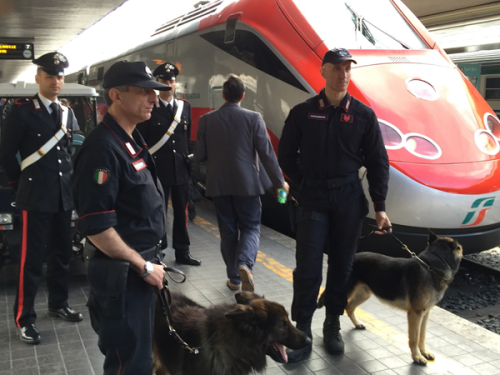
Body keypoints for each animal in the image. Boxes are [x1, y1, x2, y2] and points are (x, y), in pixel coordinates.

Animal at [320, 231, 460, 366]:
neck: (431, 267)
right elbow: (414, 338)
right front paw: (417, 357)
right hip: (345, 291)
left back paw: (357, 323)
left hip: (365, 294)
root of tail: (353, 257)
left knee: (349, 307)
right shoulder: (416, 314)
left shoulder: (425, 314)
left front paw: (424, 352)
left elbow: (422, 335)